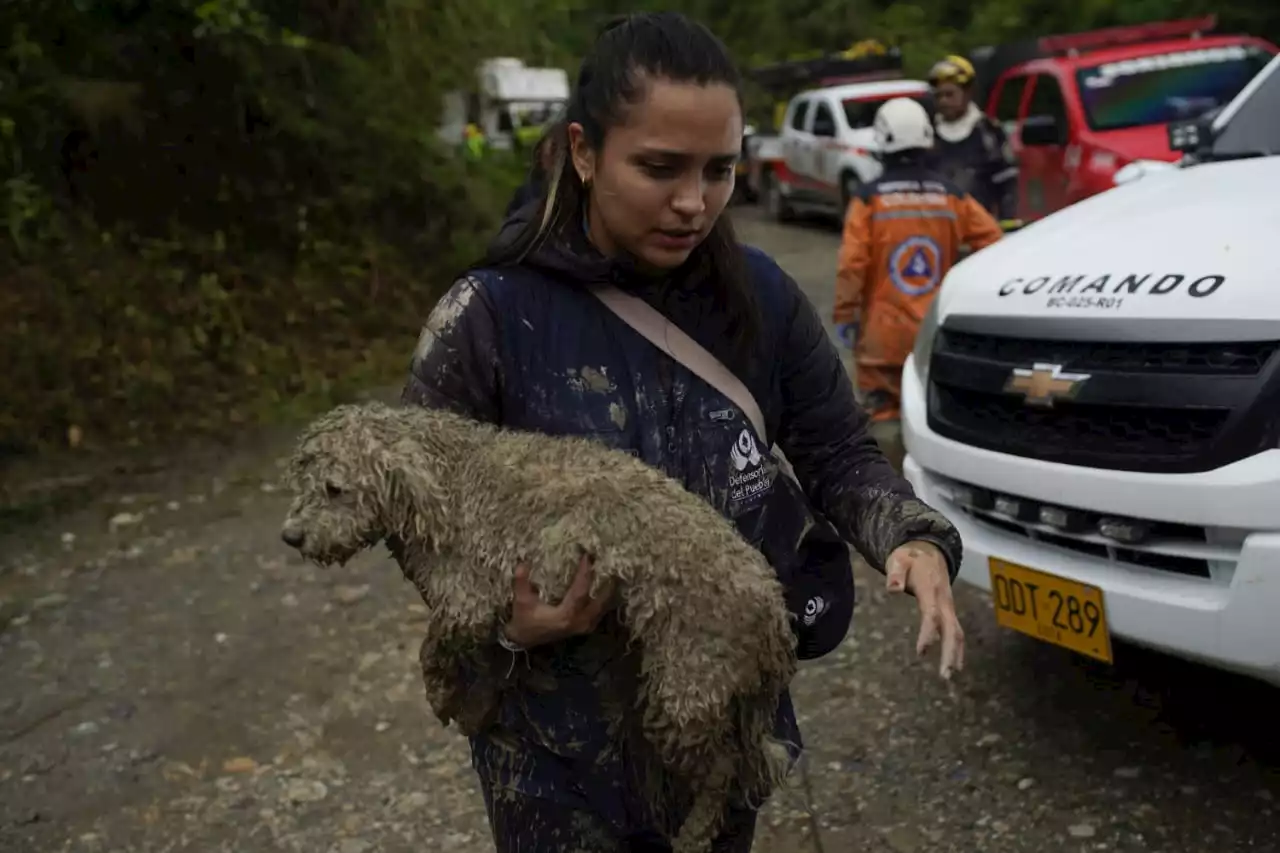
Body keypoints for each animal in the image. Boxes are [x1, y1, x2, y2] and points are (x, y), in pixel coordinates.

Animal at [281, 399, 798, 850]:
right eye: (301, 481)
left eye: (334, 488)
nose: (290, 536)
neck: (448, 481)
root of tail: (775, 613)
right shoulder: (494, 608)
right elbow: (490, 661)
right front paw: (477, 708)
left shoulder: (468, 596)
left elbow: (432, 648)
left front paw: (444, 696)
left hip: (686, 689)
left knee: (722, 768)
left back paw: (694, 833)